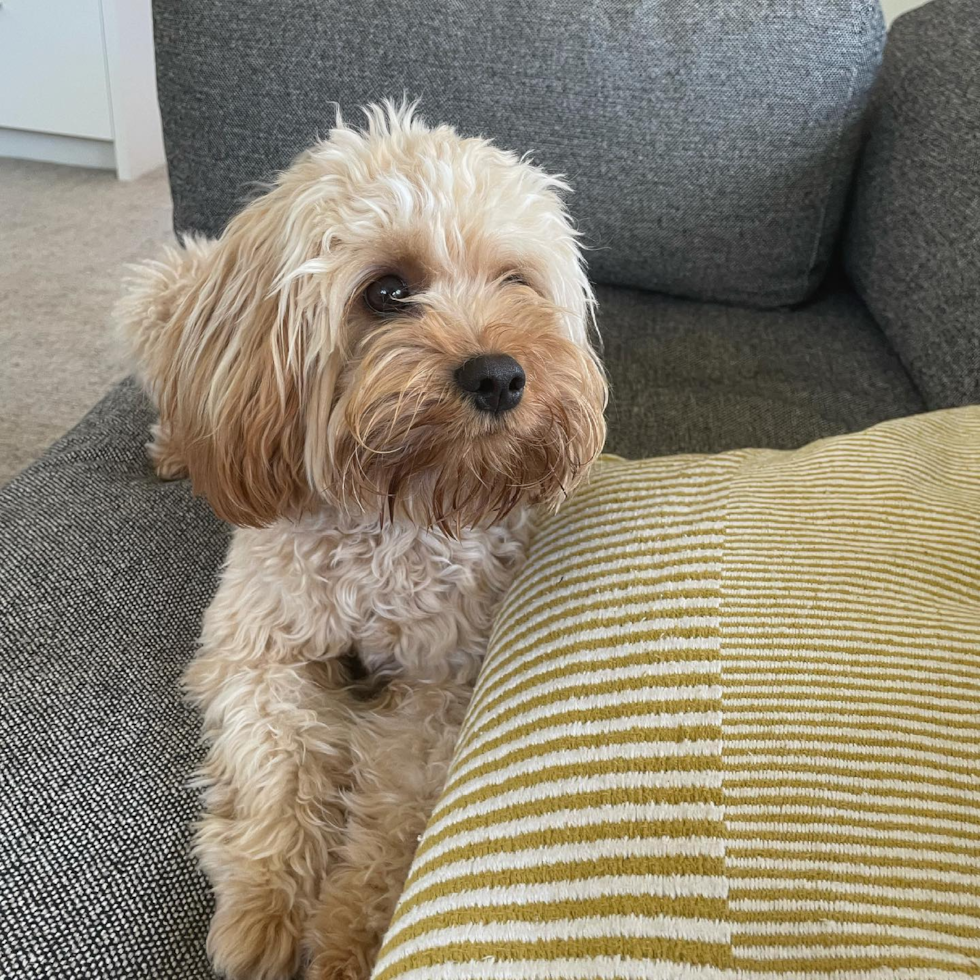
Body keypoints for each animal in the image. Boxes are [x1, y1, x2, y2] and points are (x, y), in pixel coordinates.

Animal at [115, 103, 604, 976]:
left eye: (515, 281)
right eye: (387, 292)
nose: (500, 375)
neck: (391, 511)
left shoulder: (441, 686)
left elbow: (392, 812)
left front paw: (348, 934)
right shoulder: (260, 654)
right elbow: (278, 772)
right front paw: (266, 907)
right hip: (155, 303)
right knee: (175, 395)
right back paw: (178, 447)